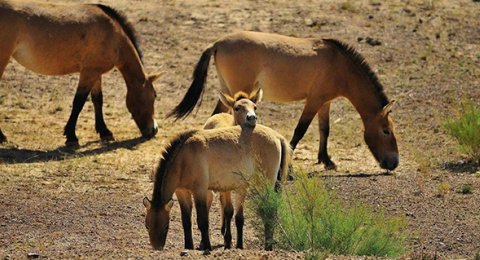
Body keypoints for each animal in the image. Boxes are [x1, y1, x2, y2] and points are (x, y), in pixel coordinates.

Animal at [0, 1, 161, 145]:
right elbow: (79, 102)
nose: (154, 130)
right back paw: (2, 136)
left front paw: (105, 132)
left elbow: (98, 100)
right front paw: (71, 136)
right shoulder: (88, 73)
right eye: (154, 95)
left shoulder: (96, 73)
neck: (113, 34)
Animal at [143, 90, 288, 251]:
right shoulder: (182, 192)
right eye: (147, 225)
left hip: (266, 184)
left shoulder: (200, 190)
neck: (183, 157)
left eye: (166, 226)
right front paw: (188, 246)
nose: (157, 247)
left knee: (270, 211)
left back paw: (267, 247)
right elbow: (186, 221)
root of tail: (277, 136)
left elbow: (202, 221)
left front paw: (206, 246)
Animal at [169, 31, 398, 171]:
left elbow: (324, 129)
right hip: (237, 93)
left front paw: (326, 160)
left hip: (227, 93)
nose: (394, 162)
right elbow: (300, 131)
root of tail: (218, 43)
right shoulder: (314, 101)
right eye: (386, 131)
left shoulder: (325, 102)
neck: (339, 64)